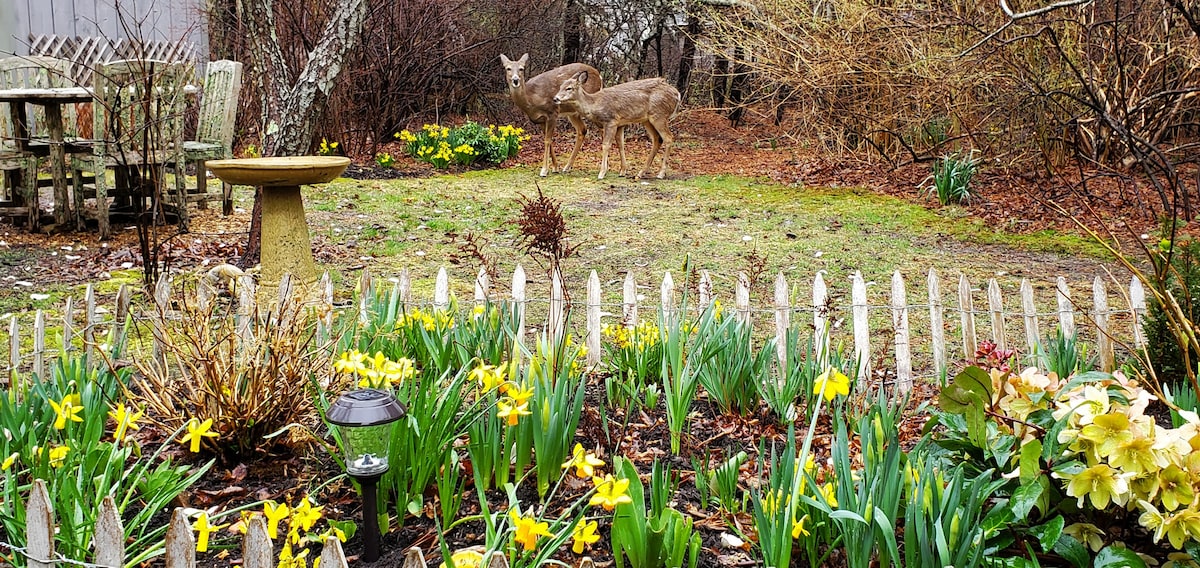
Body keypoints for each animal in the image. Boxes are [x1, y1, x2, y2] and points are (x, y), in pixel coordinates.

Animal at [549, 72, 681, 178]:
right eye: (560, 87)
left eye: (569, 88)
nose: (555, 98)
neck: (595, 103)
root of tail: (677, 95)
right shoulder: (620, 124)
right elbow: (621, 145)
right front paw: (623, 171)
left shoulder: (611, 121)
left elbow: (606, 145)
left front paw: (602, 173)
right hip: (647, 119)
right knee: (657, 139)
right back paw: (641, 172)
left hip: (659, 115)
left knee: (668, 138)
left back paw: (661, 173)